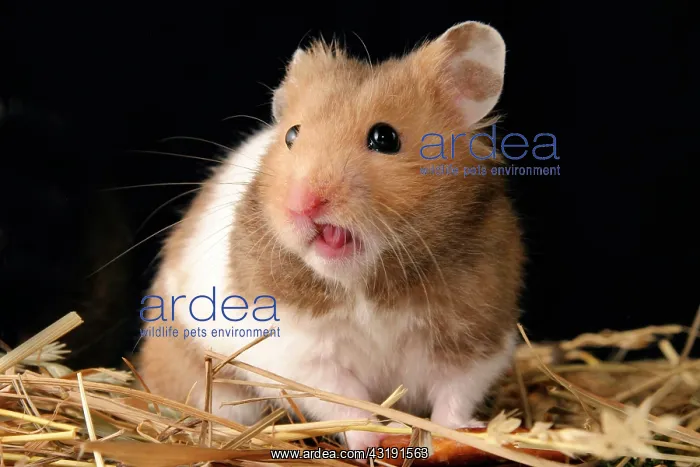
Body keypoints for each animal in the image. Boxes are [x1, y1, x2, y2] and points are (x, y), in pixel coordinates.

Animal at [137, 20, 524, 451]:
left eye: (385, 138)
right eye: (291, 135)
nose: (301, 204)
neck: (367, 283)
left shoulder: (479, 331)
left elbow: (455, 393)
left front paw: (460, 433)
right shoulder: (297, 352)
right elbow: (342, 400)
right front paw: (374, 439)